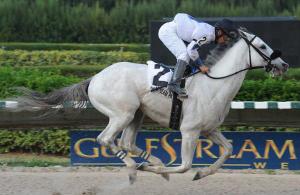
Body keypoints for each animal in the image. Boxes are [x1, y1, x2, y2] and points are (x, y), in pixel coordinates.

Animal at [14, 30, 288, 183]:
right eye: (262, 47)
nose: (283, 65)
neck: (214, 85)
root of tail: (94, 78)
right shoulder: (190, 131)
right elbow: (184, 166)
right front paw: (164, 170)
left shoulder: (210, 129)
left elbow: (228, 150)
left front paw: (201, 174)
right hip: (122, 113)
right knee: (106, 139)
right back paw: (136, 168)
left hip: (137, 114)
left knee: (126, 143)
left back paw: (152, 163)